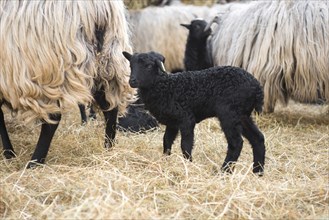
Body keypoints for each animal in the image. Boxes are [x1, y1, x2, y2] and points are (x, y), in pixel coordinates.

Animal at [121, 50, 266, 174]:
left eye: (149, 66)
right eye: (131, 65)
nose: (132, 81)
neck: (166, 87)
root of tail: (257, 88)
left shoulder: (186, 119)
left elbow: (185, 144)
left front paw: (188, 165)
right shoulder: (172, 122)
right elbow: (166, 141)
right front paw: (166, 160)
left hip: (229, 113)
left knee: (236, 143)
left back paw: (224, 171)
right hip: (242, 115)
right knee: (258, 138)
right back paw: (257, 172)